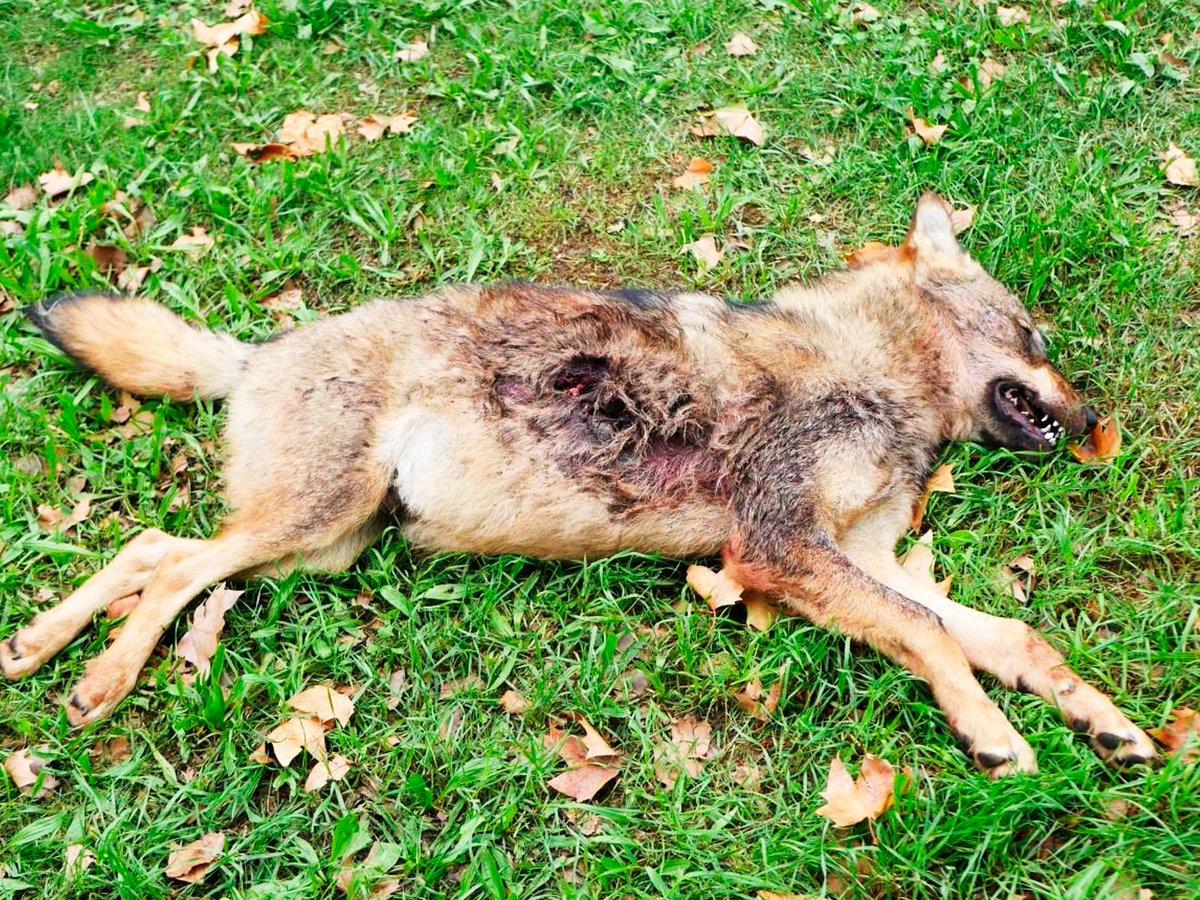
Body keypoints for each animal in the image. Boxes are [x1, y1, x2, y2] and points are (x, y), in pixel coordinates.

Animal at [3, 195, 1155, 774]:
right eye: (1034, 337)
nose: (1097, 423)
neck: (870, 369)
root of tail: (254, 355)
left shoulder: (862, 556)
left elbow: (1013, 639)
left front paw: (1106, 723)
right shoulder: (778, 549)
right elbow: (928, 637)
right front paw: (995, 736)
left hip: (318, 549)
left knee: (153, 549)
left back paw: (34, 649)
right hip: (310, 526)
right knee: (168, 564)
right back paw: (99, 681)